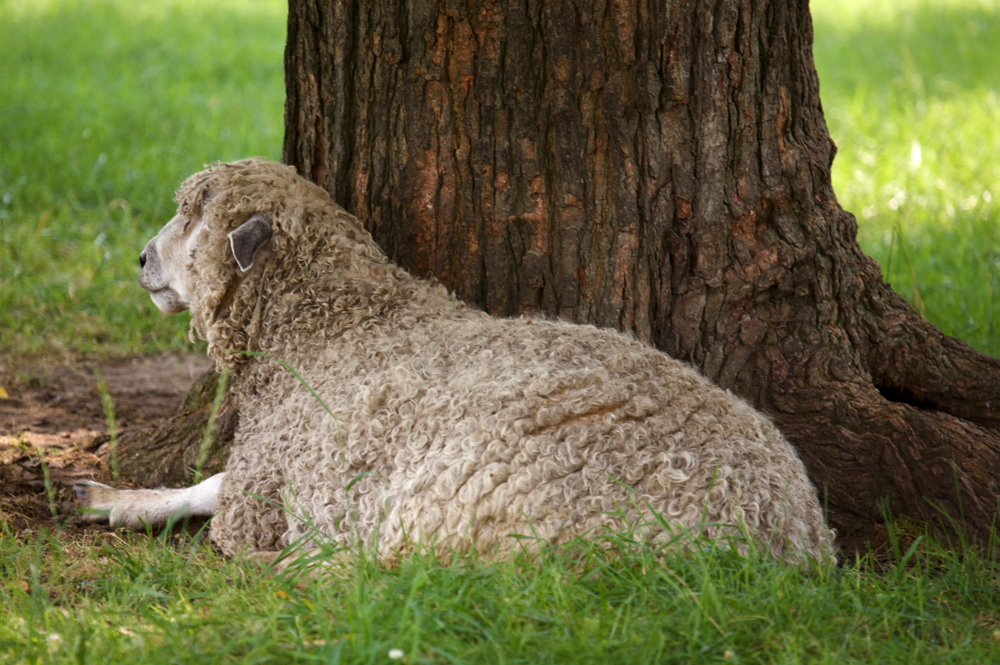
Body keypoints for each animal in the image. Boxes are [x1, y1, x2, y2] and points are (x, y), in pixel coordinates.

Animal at [76, 158, 836, 564]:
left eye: (192, 215)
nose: (140, 260)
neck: (335, 324)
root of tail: (784, 536)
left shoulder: (269, 476)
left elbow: (221, 497)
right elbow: (205, 482)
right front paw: (115, 501)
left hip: (462, 500)